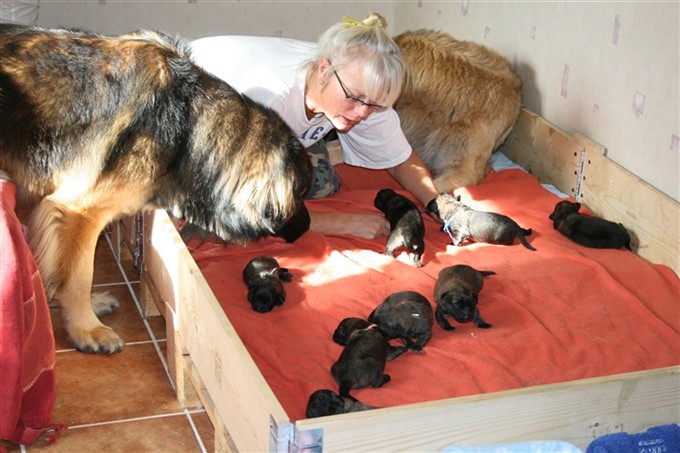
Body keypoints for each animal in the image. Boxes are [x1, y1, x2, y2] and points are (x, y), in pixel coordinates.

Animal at [0, 24, 312, 354]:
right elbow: (79, 275)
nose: (308, 228)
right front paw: (87, 329)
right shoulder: (78, 211)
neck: (188, 128)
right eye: (302, 194)